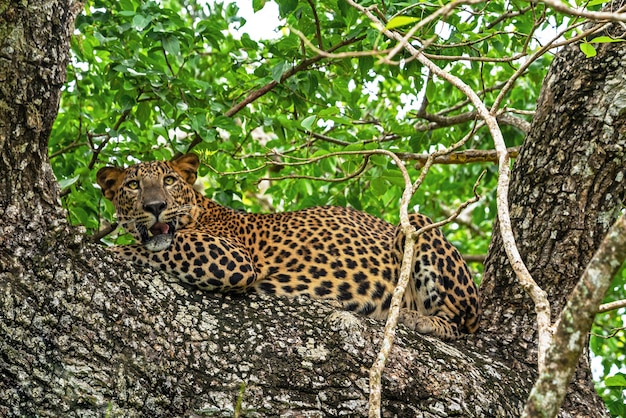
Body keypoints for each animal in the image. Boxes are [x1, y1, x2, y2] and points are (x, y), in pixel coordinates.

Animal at [96, 153, 478, 340]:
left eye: (169, 180)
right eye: (132, 185)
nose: (155, 206)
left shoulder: (231, 259)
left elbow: (157, 248)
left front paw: (113, 248)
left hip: (418, 223)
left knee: (462, 323)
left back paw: (419, 319)